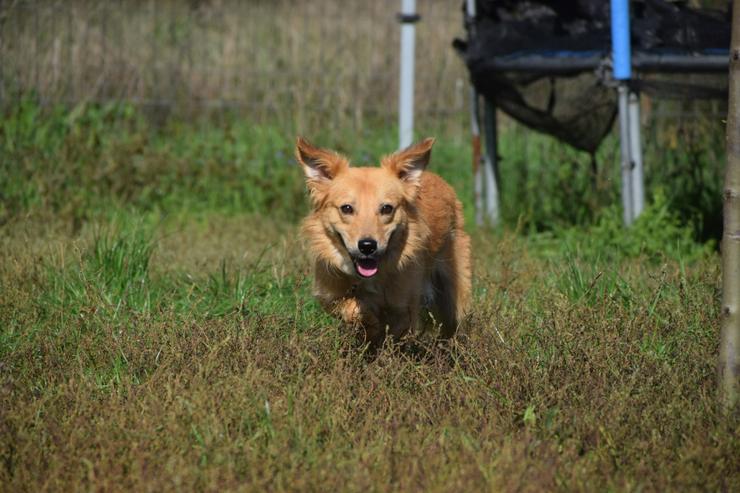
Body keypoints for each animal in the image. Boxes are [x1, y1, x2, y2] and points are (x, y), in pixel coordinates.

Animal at [294, 136, 468, 348]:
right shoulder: (328, 295)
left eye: (387, 208)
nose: (367, 246)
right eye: (346, 208)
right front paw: (368, 322)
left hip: (453, 296)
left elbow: (393, 333)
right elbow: (353, 309)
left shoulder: (405, 308)